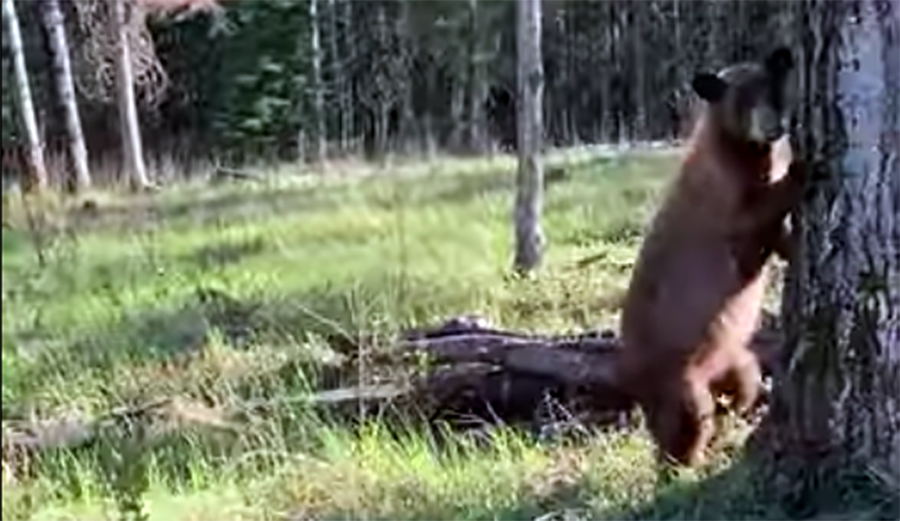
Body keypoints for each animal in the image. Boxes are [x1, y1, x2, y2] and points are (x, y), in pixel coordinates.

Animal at [616, 47, 806, 468]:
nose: (774, 127)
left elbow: (773, 233)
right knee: (687, 419)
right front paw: (802, 170)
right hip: (676, 373)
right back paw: (685, 462)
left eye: (773, 90)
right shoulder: (721, 195)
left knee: (745, 383)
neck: (745, 151)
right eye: (743, 100)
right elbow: (755, 212)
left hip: (731, 355)